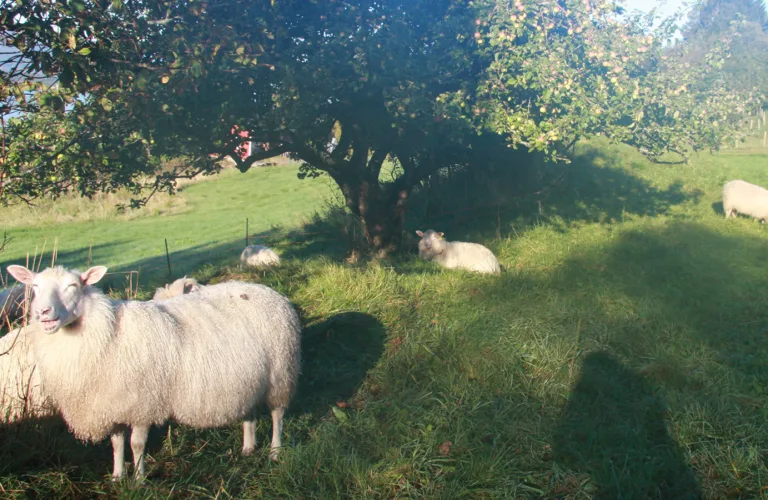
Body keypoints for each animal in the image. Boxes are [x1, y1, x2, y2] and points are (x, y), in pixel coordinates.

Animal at [6, 264, 301, 481]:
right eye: (35, 287)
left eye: (73, 286)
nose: (44, 313)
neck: (108, 333)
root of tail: (267, 290)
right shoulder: (113, 404)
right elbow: (116, 443)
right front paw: (117, 476)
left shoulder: (142, 404)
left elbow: (136, 444)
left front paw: (139, 480)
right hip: (249, 378)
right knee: (249, 412)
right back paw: (248, 448)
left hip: (280, 373)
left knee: (277, 414)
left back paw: (275, 451)